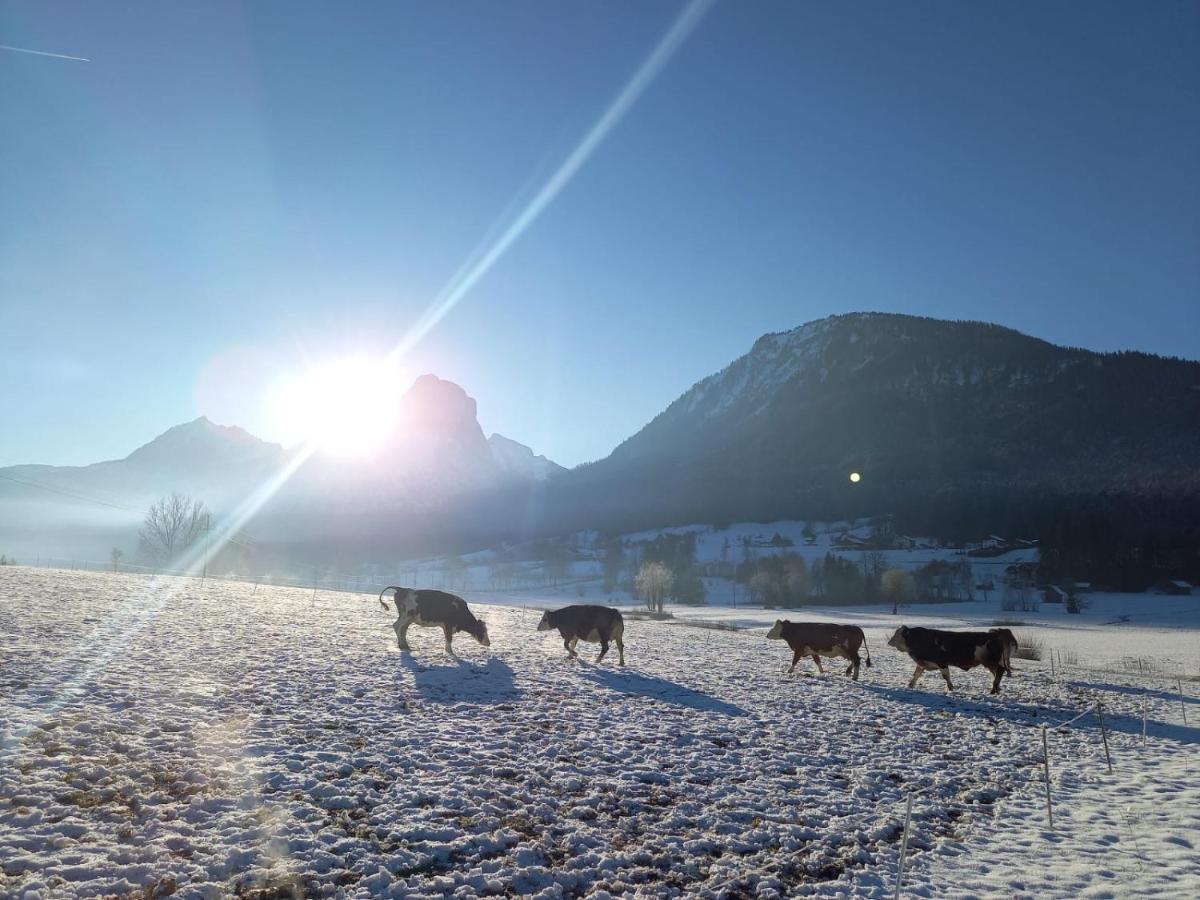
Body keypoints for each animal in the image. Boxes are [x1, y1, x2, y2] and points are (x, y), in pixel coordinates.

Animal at [888, 628, 1017, 696]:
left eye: (897, 634)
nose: (889, 642)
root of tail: (994, 635)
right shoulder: (923, 663)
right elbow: (916, 674)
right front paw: (910, 685)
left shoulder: (942, 662)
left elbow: (946, 676)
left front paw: (950, 688)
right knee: (997, 674)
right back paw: (996, 689)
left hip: (991, 661)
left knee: (999, 671)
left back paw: (993, 689)